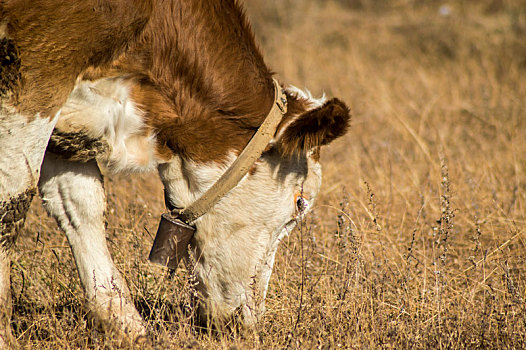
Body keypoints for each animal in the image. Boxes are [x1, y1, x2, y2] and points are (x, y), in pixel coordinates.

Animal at [2, 0, 352, 344]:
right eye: (299, 204)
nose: (247, 322)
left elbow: (78, 202)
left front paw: (125, 323)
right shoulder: (41, 67)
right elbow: (12, 202)